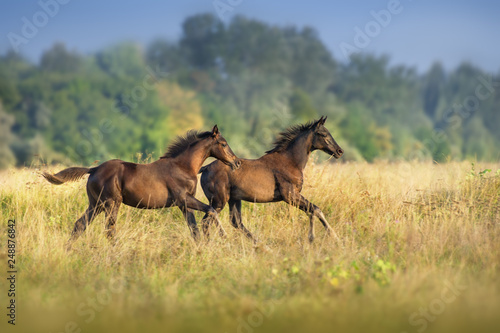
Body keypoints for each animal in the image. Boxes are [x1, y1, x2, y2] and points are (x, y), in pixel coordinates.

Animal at [42, 124, 241, 246]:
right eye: (223, 144)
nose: (237, 162)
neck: (182, 166)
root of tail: (94, 169)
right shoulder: (183, 199)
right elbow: (211, 209)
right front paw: (224, 235)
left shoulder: (185, 204)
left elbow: (194, 229)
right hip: (111, 203)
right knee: (109, 230)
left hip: (96, 204)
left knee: (80, 225)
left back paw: (67, 250)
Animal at [199, 116, 344, 241]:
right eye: (323, 134)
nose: (339, 151)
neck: (290, 161)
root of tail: (205, 168)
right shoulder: (290, 195)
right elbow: (316, 209)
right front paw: (332, 237)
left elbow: (312, 211)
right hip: (219, 201)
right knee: (207, 221)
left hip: (233, 199)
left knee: (235, 222)